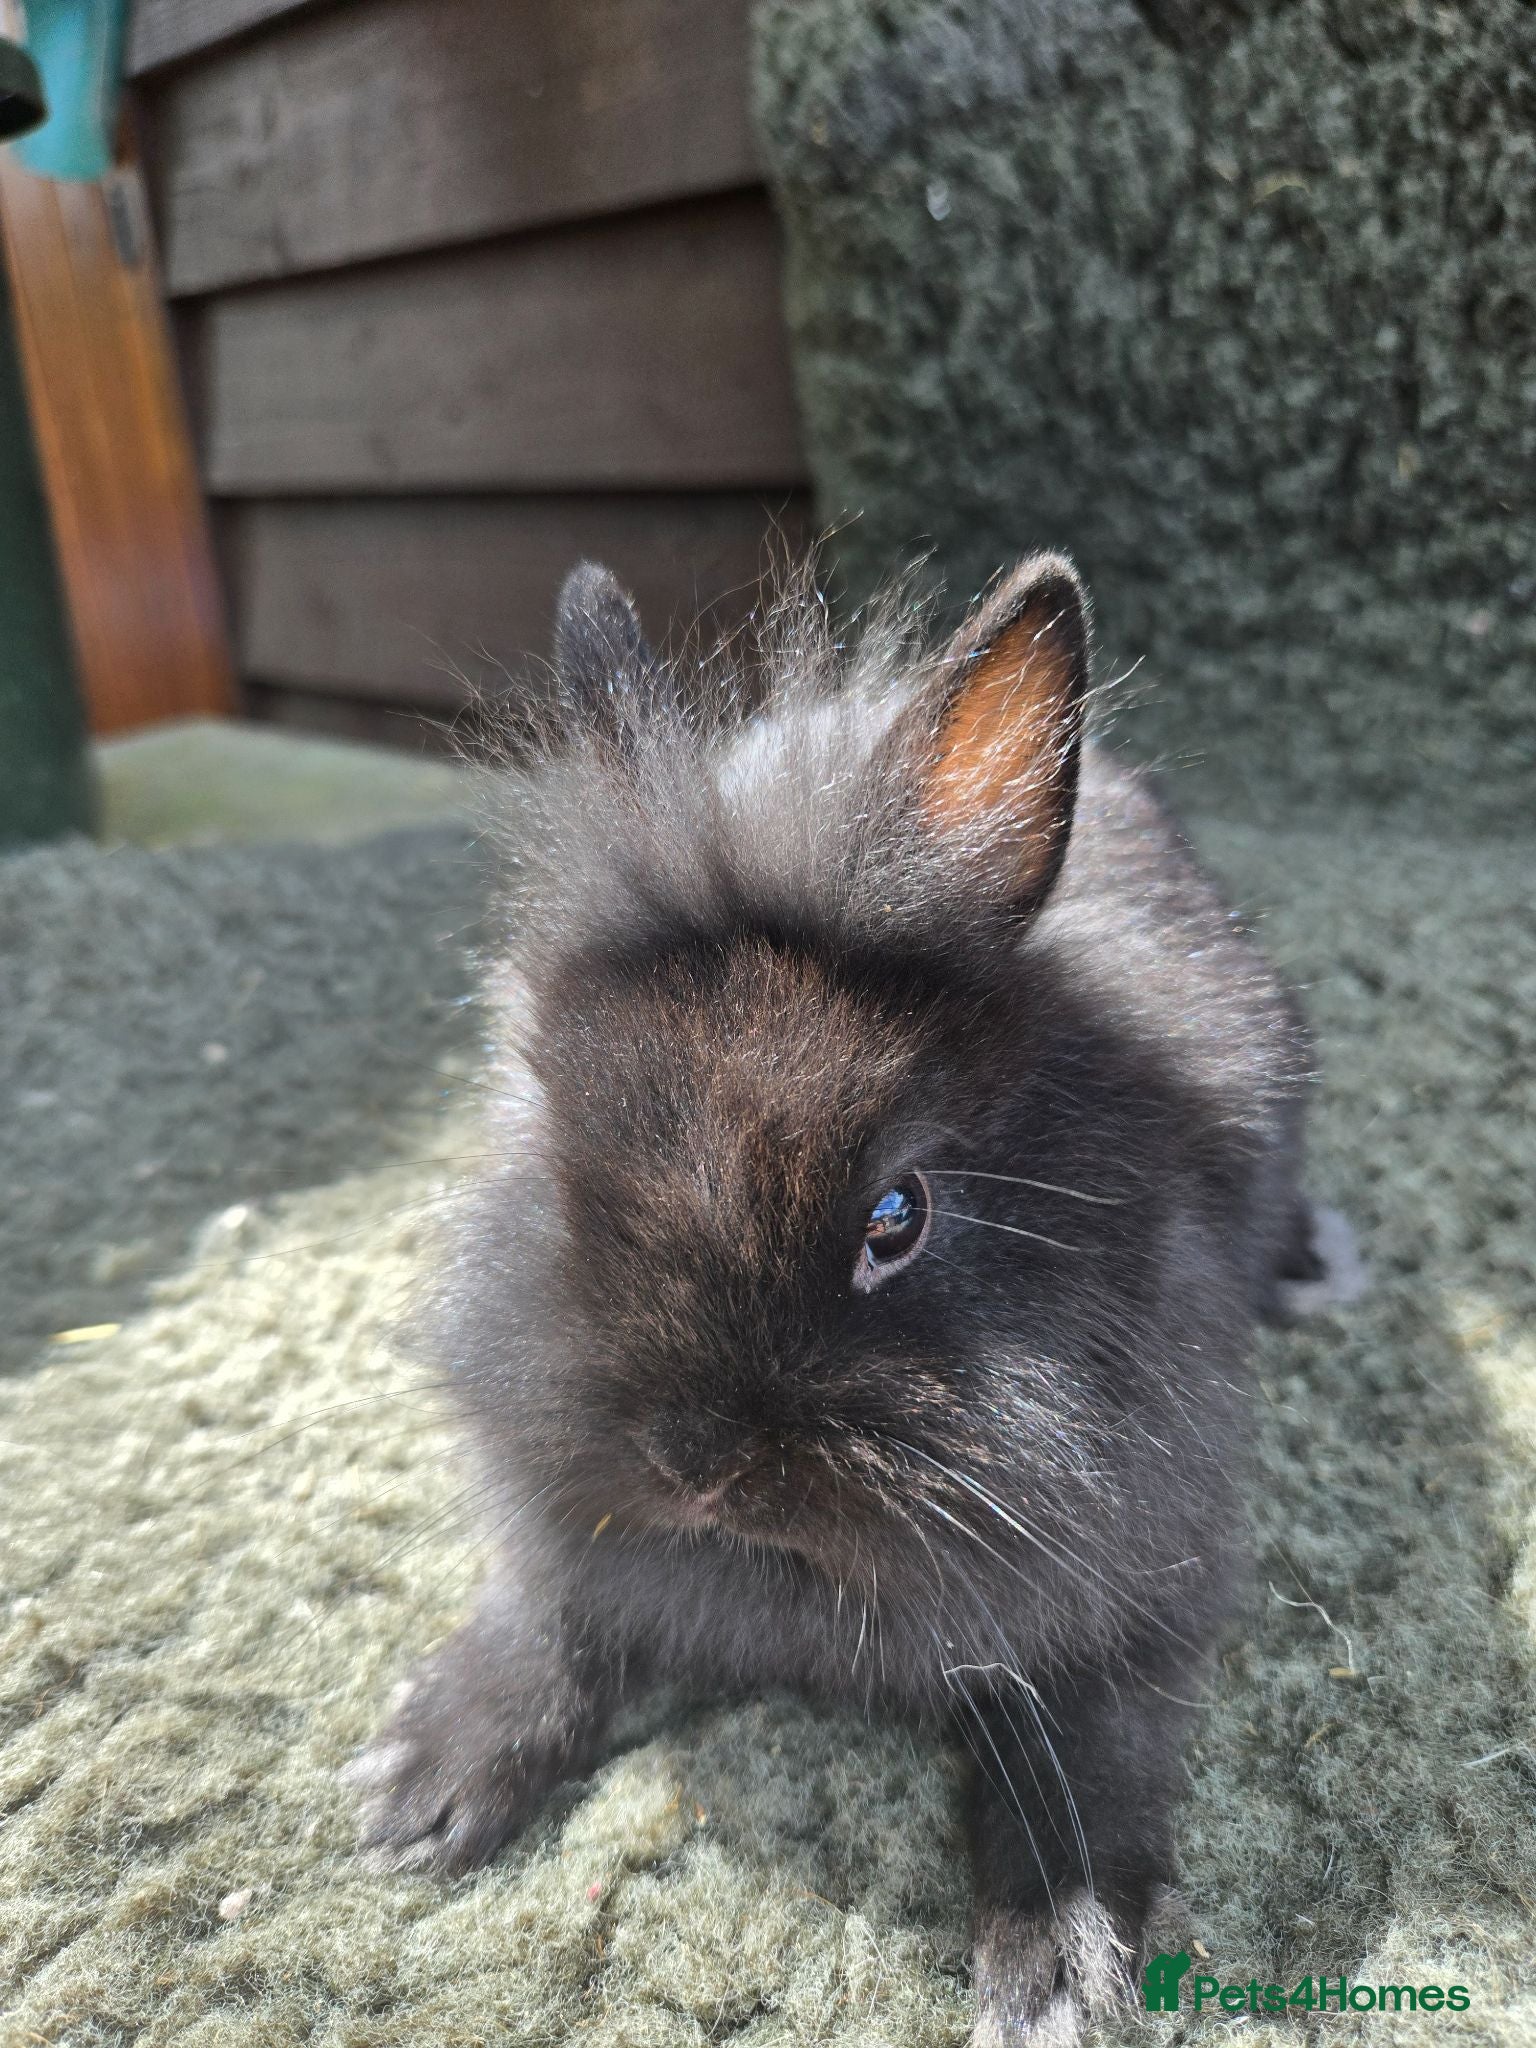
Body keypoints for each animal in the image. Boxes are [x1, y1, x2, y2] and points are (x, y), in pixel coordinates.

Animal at [349, 553, 1357, 2042]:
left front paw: (1059, 1963)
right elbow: (553, 1619)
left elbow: (1085, 1755)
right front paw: (419, 1787)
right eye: (559, 1156)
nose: (694, 1463)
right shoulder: (568, 1539)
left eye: (898, 1215)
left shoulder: (1142, 1587)